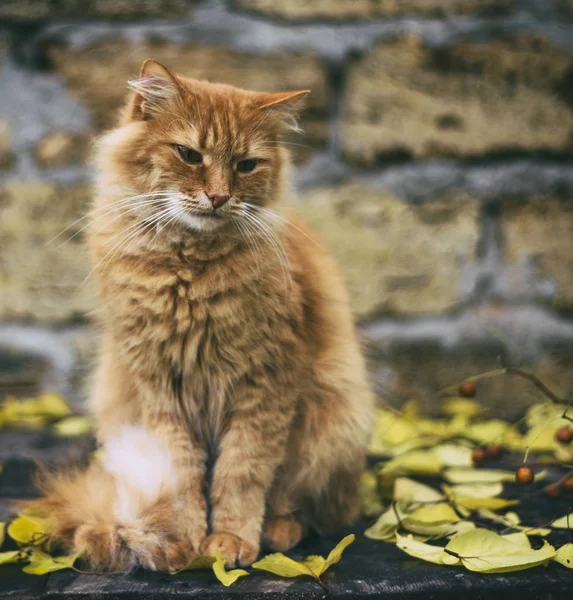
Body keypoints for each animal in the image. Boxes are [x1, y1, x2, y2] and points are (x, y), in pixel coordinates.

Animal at [38, 59, 374, 572]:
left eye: (245, 165)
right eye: (190, 155)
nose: (218, 197)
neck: (190, 270)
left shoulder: (266, 386)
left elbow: (241, 473)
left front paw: (230, 539)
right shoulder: (160, 389)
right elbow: (182, 477)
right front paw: (183, 540)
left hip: (334, 418)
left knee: (305, 505)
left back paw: (278, 532)